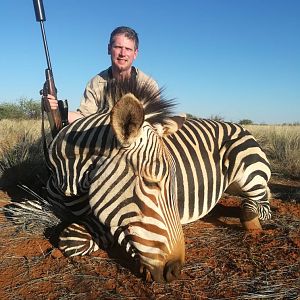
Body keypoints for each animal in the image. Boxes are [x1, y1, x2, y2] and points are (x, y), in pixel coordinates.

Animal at [44, 78, 272, 282]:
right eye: (150, 182)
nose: (174, 271)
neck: (69, 185)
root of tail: (238, 126)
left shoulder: (105, 218)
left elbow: (72, 238)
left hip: (247, 168)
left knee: (262, 204)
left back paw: (250, 220)